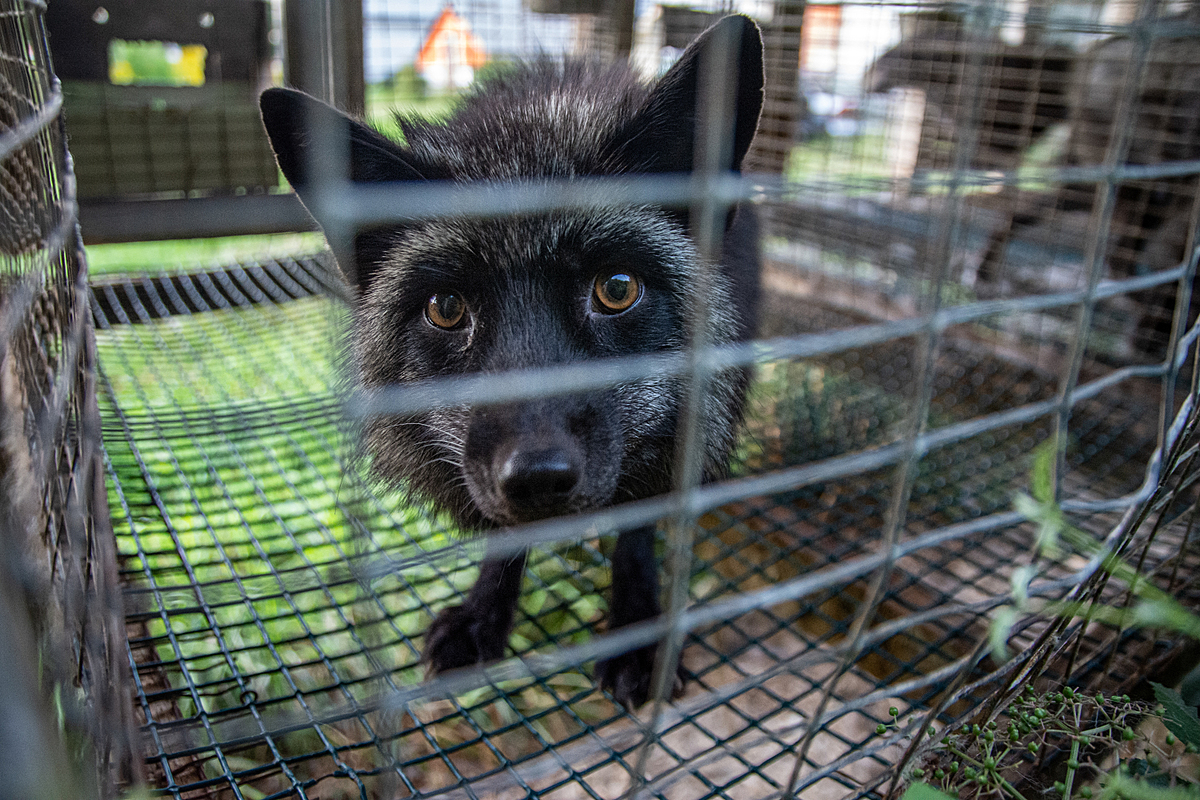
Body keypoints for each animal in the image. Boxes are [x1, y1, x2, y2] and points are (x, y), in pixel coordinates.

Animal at [261, 14, 763, 705]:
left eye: (618, 288)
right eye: (446, 307)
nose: (538, 477)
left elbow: (636, 534)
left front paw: (635, 630)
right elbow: (505, 538)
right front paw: (483, 615)